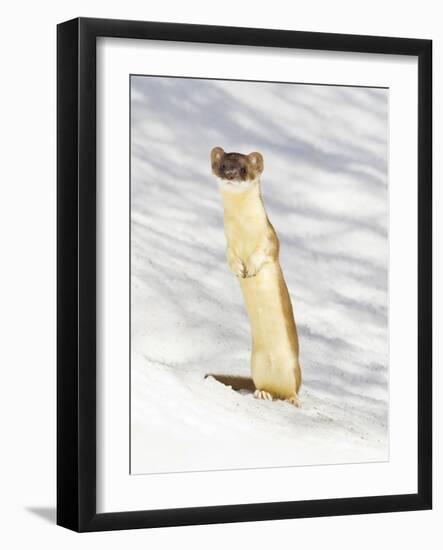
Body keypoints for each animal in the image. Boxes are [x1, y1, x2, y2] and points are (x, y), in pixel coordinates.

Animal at [211, 147, 302, 406]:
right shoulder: (228, 243)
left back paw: (292, 400)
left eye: (243, 168)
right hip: (256, 364)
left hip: (294, 368)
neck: (243, 231)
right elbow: (229, 257)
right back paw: (263, 393)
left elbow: (263, 253)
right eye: (223, 165)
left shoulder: (270, 240)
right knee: (265, 386)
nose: (231, 174)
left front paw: (250, 268)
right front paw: (238, 269)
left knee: (293, 389)